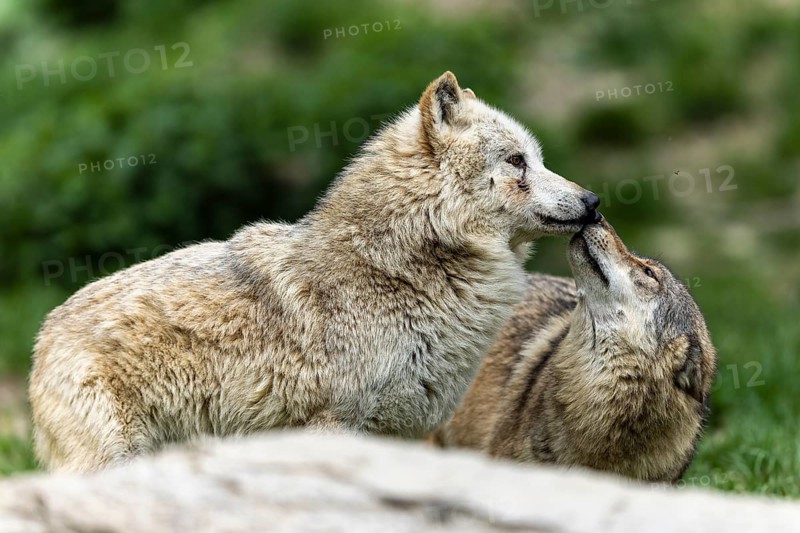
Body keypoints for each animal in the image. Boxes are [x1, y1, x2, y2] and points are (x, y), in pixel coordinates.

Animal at [29, 71, 600, 472]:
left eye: (537, 159)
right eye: (517, 161)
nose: (593, 201)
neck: (400, 269)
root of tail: (42, 335)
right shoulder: (332, 427)